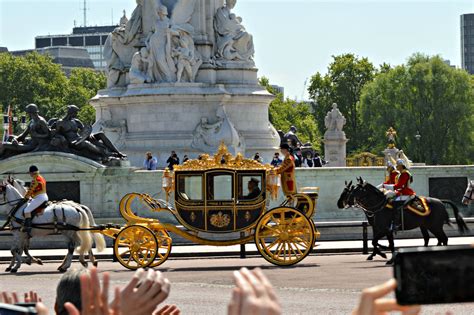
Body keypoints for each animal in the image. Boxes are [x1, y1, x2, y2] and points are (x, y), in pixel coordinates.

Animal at [336, 178, 466, 264]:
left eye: (355, 190)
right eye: (349, 190)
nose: (340, 204)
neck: (379, 206)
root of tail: (440, 201)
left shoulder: (384, 229)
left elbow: (376, 242)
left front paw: (383, 253)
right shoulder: (382, 229)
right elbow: (385, 243)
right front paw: (384, 255)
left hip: (435, 226)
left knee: (443, 239)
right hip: (426, 226)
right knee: (432, 239)